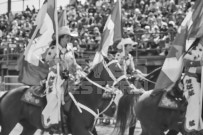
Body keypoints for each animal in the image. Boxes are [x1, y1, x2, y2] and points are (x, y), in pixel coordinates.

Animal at [0, 59, 132, 135]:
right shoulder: (80, 130)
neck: (87, 98)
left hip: (29, 127)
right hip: (8, 124)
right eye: (116, 69)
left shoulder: (90, 129)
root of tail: (7, 93)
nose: (128, 85)